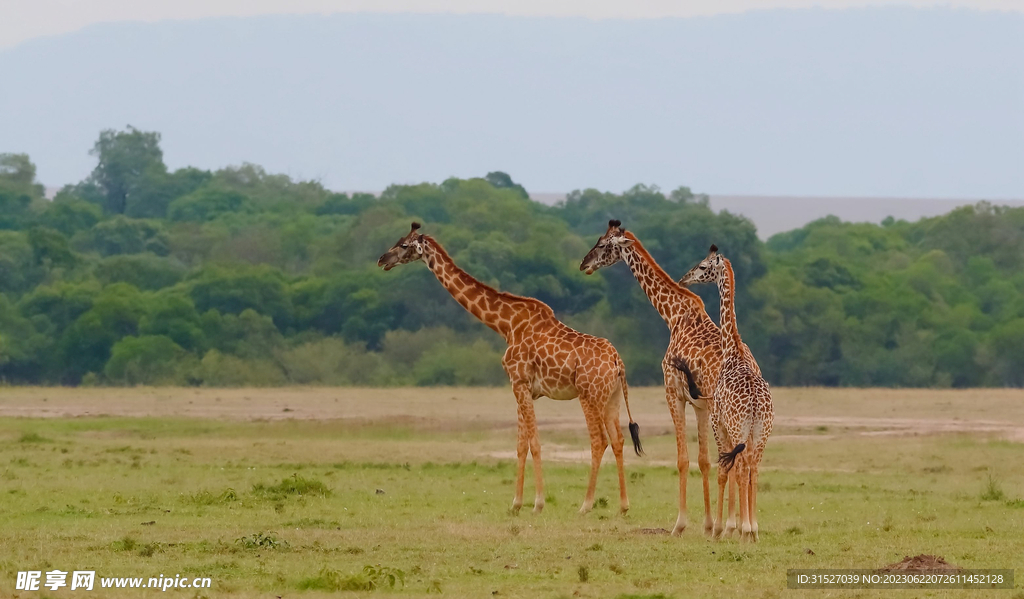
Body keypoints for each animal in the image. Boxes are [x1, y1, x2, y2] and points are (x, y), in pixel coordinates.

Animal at [376, 222, 638, 511]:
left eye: (403, 245)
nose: (382, 260)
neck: (506, 325)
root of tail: (617, 361)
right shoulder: (524, 388)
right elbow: (521, 445)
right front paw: (515, 504)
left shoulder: (519, 381)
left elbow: (535, 443)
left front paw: (538, 503)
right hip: (612, 397)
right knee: (618, 439)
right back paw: (623, 505)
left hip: (589, 394)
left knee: (599, 440)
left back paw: (586, 505)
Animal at [679, 243, 774, 540]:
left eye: (702, 266)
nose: (684, 278)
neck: (734, 352)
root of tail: (755, 404)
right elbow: (741, 470)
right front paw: (742, 527)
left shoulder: (717, 422)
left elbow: (723, 468)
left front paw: (719, 529)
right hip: (761, 432)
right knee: (754, 468)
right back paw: (753, 530)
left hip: (738, 428)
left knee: (741, 467)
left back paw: (746, 530)